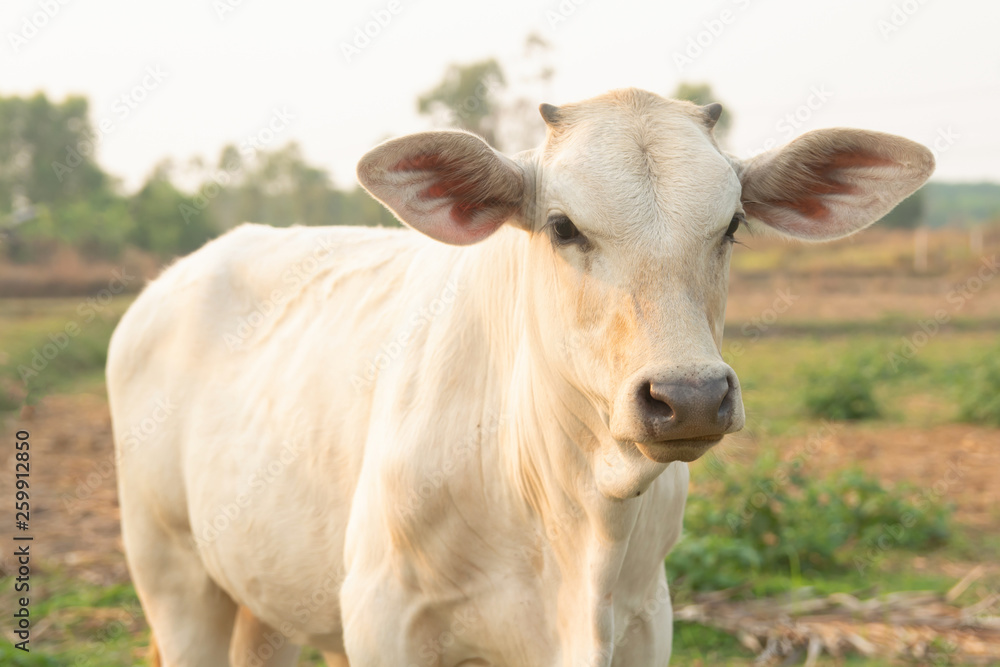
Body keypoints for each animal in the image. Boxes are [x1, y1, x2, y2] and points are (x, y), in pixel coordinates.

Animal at [105, 90, 932, 667]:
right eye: (564, 226)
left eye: (731, 226)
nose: (689, 396)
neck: (573, 507)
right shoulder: (385, 619)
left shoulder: (644, 619)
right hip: (172, 573)